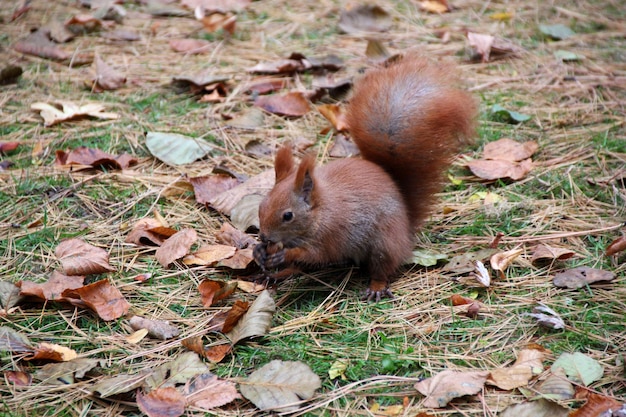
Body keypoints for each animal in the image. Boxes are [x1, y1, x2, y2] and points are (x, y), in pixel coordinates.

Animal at [251, 54, 476, 300]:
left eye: (288, 216)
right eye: (261, 206)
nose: (264, 237)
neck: (320, 213)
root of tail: (406, 226)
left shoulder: (332, 233)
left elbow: (315, 254)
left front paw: (285, 255)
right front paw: (260, 252)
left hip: (384, 242)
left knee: (382, 267)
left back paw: (376, 287)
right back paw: (274, 275)